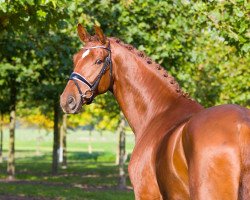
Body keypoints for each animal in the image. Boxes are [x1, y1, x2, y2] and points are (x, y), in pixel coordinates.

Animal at [60, 25, 250, 200]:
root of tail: (241, 127)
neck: (157, 112)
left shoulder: (146, 194)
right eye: (75, 59)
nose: (67, 100)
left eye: (99, 61)